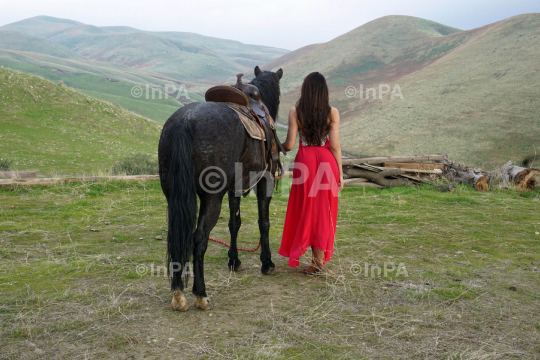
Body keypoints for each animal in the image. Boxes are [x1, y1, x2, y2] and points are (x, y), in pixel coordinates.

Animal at [158, 67, 284, 310]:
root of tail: (184, 122)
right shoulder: (265, 180)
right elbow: (263, 222)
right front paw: (267, 262)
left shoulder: (235, 186)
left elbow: (234, 223)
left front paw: (234, 260)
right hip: (211, 198)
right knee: (199, 239)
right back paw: (201, 293)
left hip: (172, 195)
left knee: (177, 236)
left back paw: (178, 293)